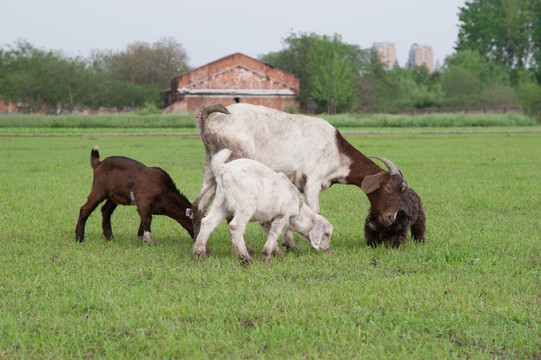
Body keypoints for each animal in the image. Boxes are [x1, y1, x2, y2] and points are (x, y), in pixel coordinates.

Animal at [192, 148, 332, 262]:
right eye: (327, 234)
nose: (326, 251)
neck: (298, 208)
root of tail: (224, 169)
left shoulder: (266, 220)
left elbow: (269, 233)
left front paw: (278, 254)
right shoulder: (283, 215)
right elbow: (275, 233)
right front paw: (266, 257)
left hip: (221, 203)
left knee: (207, 222)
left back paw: (200, 254)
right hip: (245, 205)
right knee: (235, 226)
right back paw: (245, 258)